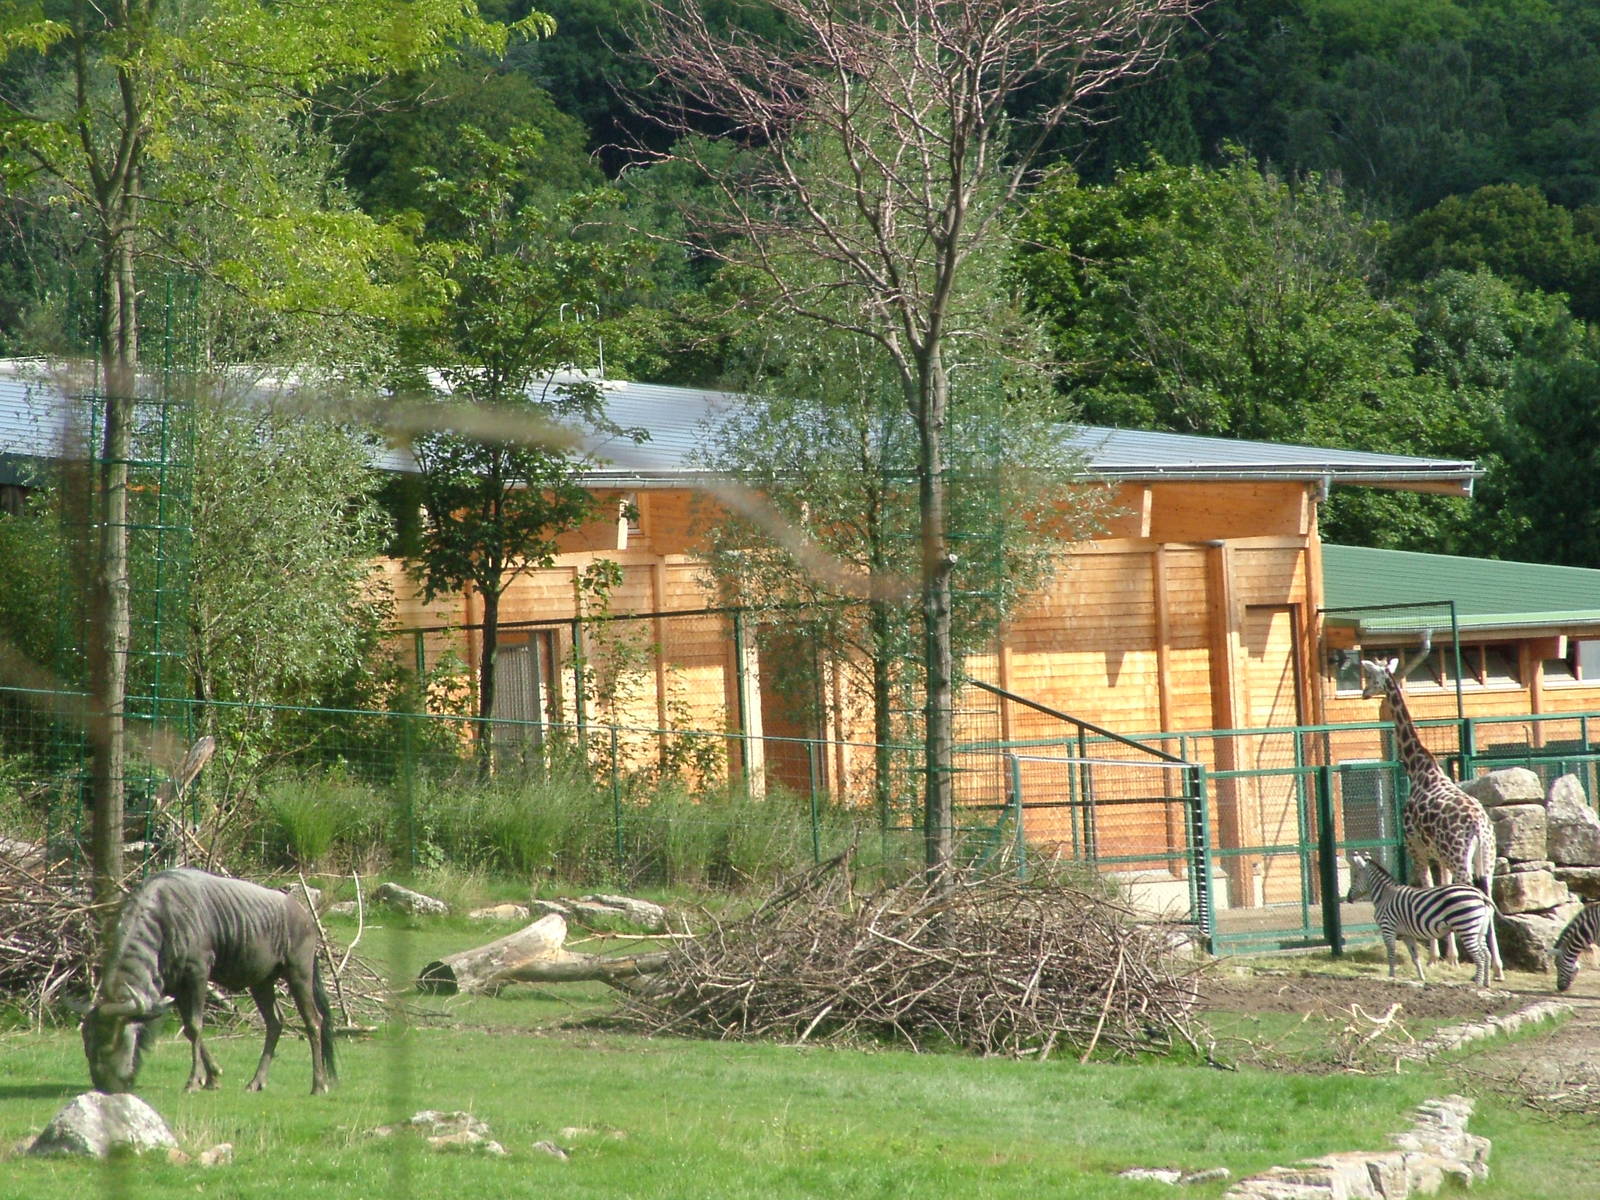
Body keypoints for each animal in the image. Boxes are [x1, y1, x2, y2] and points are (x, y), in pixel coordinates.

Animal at [1359, 656, 1503, 980]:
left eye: (1371, 675)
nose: (1363, 693)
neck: (1418, 769)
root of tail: (1479, 826)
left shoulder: (1418, 849)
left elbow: (1426, 888)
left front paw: (1437, 956)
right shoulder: (1438, 855)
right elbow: (1440, 889)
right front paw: (1449, 956)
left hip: (1460, 857)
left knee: (1471, 892)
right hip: (1485, 858)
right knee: (1488, 897)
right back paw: (1498, 967)